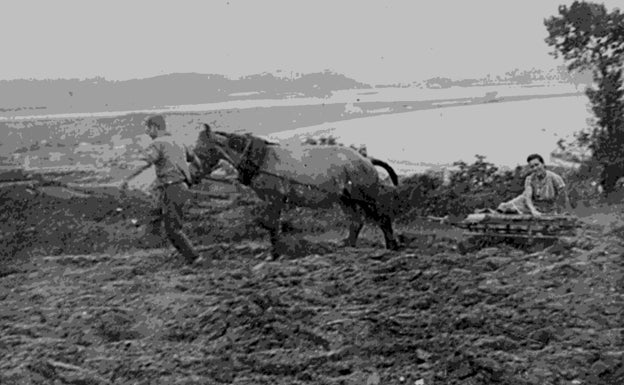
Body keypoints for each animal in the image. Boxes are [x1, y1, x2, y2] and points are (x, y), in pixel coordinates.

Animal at [193, 121, 402, 256]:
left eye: (202, 149)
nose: (193, 176)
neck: (261, 158)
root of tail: (366, 160)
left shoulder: (275, 197)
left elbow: (270, 224)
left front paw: (278, 252)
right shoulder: (271, 200)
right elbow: (270, 224)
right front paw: (276, 251)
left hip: (364, 197)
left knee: (382, 218)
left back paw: (391, 246)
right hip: (345, 199)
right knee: (356, 222)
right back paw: (349, 246)